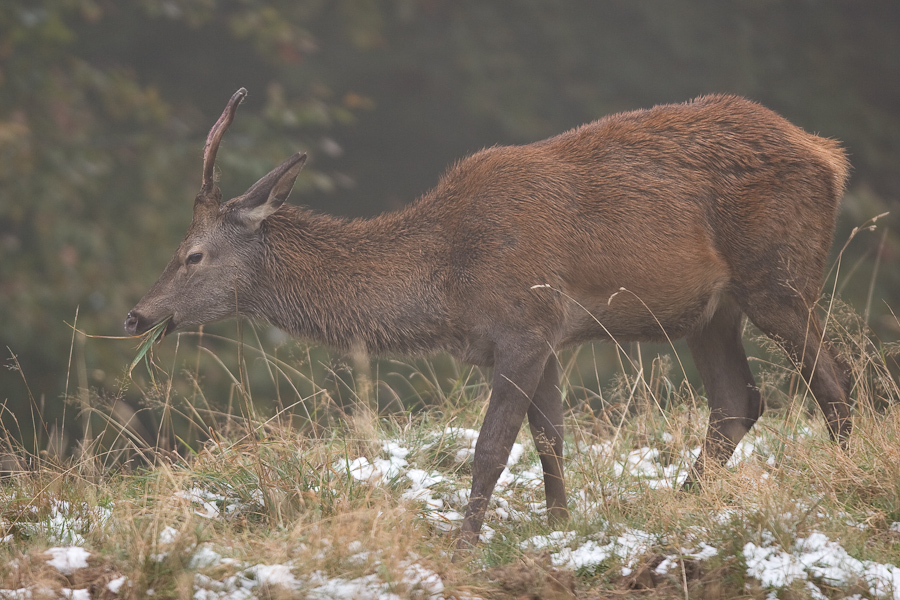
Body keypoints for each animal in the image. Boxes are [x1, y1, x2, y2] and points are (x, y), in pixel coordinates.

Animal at [125, 88, 852, 548]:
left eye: (192, 255)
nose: (136, 315)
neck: (447, 285)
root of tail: (830, 155)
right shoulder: (545, 337)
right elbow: (551, 439)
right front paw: (562, 529)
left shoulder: (524, 325)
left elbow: (493, 447)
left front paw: (465, 544)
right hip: (711, 311)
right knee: (736, 401)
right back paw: (682, 500)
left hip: (777, 277)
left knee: (832, 379)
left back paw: (842, 484)